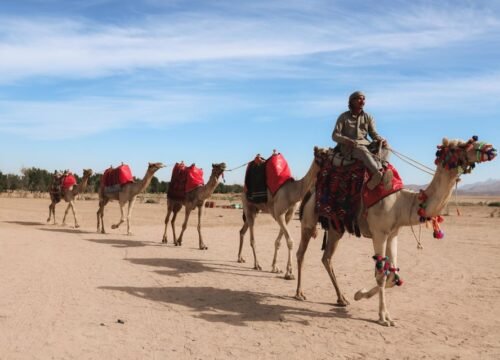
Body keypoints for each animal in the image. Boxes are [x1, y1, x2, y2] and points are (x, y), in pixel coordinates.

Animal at [238, 145, 332, 280]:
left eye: (331, 150)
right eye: (323, 153)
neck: (293, 192)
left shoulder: (289, 214)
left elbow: (279, 241)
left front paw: (275, 267)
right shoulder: (279, 214)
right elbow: (290, 241)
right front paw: (289, 272)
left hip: (256, 210)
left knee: (242, 231)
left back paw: (240, 258)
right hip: (247, 205)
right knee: (252, 238)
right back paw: (257, 264)